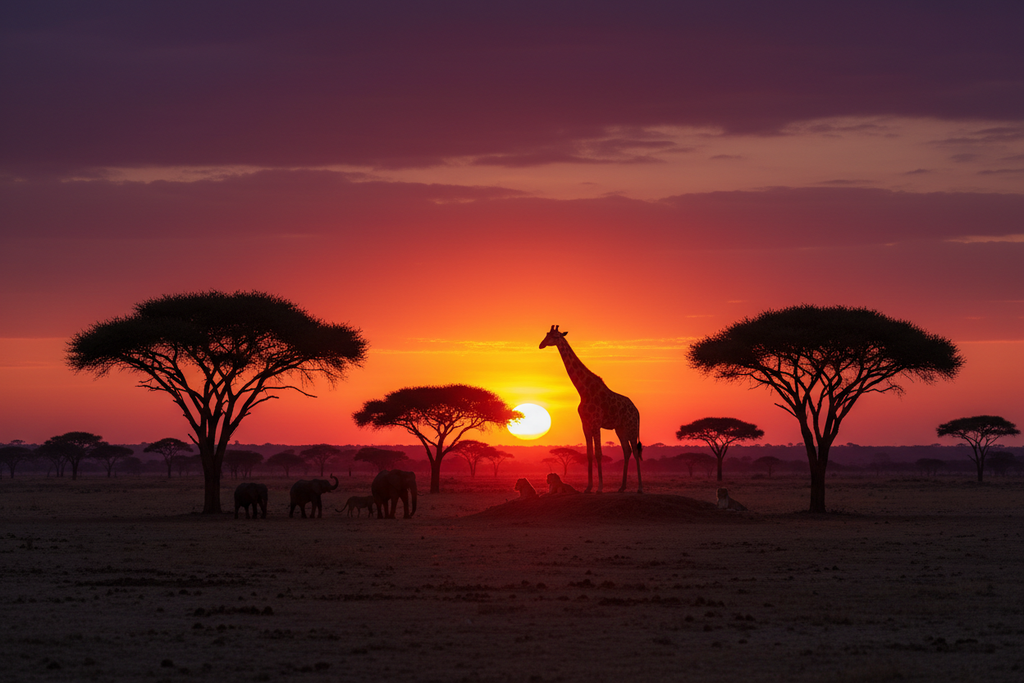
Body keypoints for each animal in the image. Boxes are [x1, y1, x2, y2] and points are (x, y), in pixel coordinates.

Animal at [540, 325, 643, 493]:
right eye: (547, 334)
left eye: (555, 336)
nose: (541, 344)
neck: (583, 390)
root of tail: (637, 411)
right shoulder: (585, 424)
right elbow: (589, 454)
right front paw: (588, 487)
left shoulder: (595, 423)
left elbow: (599, 454)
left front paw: (599, 487)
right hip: (620, 428)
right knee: (626, 451)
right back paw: (621, 487)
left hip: (632, 426)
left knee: (634, 451)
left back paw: (640, 487)